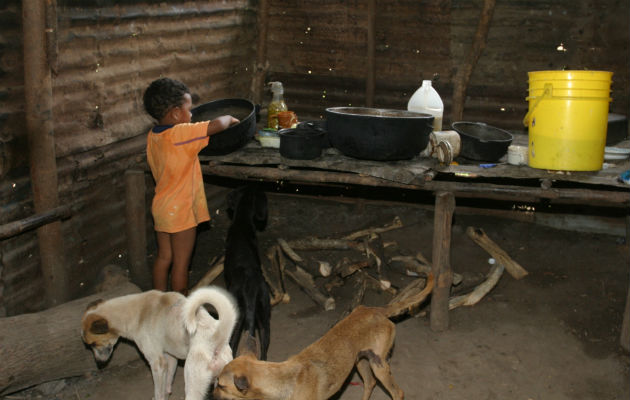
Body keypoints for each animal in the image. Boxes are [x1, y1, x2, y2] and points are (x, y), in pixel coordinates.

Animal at [83, 286, 239, 398]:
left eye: (93, 344)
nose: (99, 364)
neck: (137, 313)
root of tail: (216, 339)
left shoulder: (157, 363)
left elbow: (158, 392)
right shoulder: (170, 358)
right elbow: (167, 383)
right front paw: (168, 391)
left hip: (192, 385)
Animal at [214, 274, 434, 400]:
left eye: (221, 386)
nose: (212, 396)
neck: (283, 380)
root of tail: (375, 309)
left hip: (379, 366)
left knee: (397, 392)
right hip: (360, 361)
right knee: (370, 383)